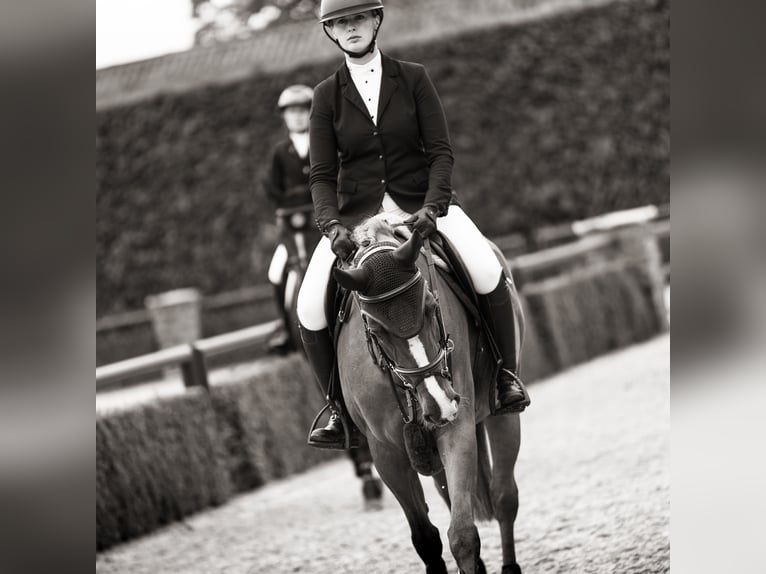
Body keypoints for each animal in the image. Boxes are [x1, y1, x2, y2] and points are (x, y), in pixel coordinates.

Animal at [332, 215, 524, 574]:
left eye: (432, 306)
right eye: (375, 330)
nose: (439, 403)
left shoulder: (456, 427)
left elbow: (462, 534)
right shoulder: (386, 452)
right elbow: (425, 538)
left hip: (500, 414)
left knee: (504, 496)